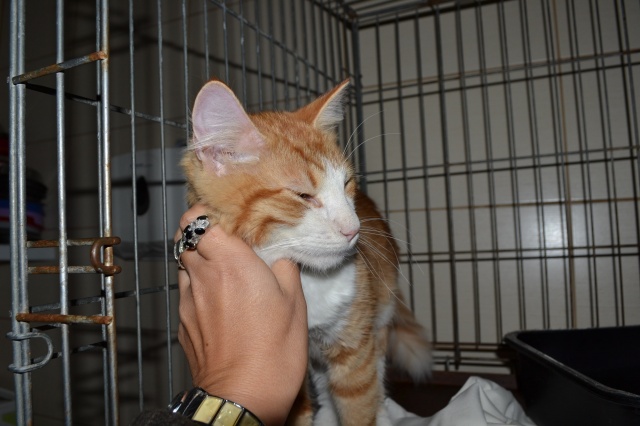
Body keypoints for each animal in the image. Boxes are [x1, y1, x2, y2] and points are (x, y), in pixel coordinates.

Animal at [181, 78, 431, 426]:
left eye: (347, 184)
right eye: (304, 196)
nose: (354, 229)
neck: (306, 281)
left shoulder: (355, 346)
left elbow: (359, 403)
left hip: (378, 316)